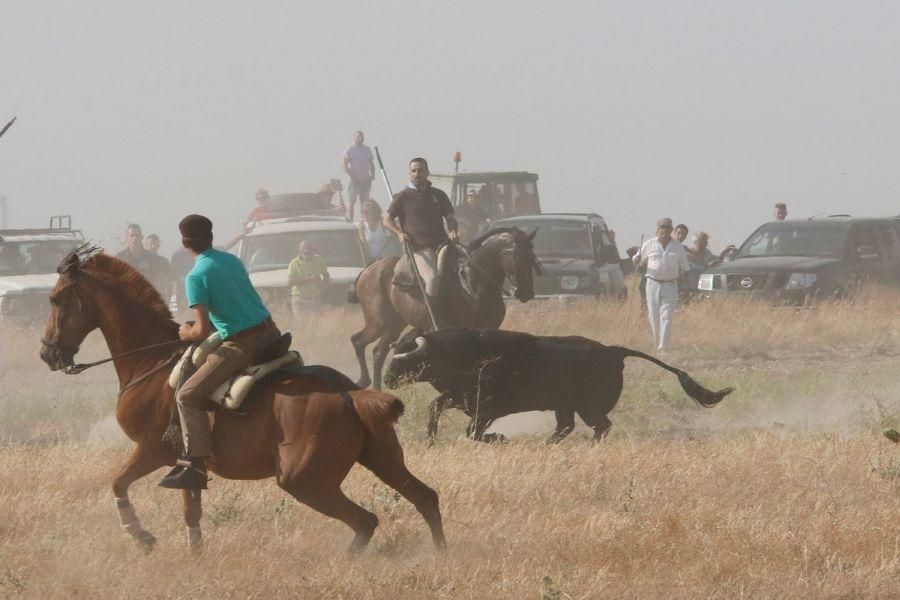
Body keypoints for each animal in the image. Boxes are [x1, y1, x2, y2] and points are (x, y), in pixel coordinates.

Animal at [39, 248, 446, 552]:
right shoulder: (189, 465)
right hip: (382, 458)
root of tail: (349, 394)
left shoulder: (152, 450)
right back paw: (439, 554)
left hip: (304, 481)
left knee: (366, 520)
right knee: (425, 498)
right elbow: (191, 512)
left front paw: (141, 536)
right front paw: (195, 555)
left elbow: (118, 484)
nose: (48, 354)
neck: (151, 363)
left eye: (55, 298)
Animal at [348, 227, 536, 392]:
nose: (527, 292)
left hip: (395, 324)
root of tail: (369, 268)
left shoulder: (489, 329)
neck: (471, 285)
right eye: (517, 256)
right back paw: (365, 381)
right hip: (378, 322)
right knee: (358, 341)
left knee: (378, 351)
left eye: (532, 256)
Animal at [384, 328, 736, 440]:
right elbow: (436, 407)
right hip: (566, 406)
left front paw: (501, 438)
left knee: (600, 426)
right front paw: (431, 437)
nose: (386, 378)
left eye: (406, 355)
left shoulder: (487, 408)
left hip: (587, 407)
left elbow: (473, 432)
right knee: (567, 427)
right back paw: (547, 443)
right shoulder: (460, 398)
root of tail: (613, 351)